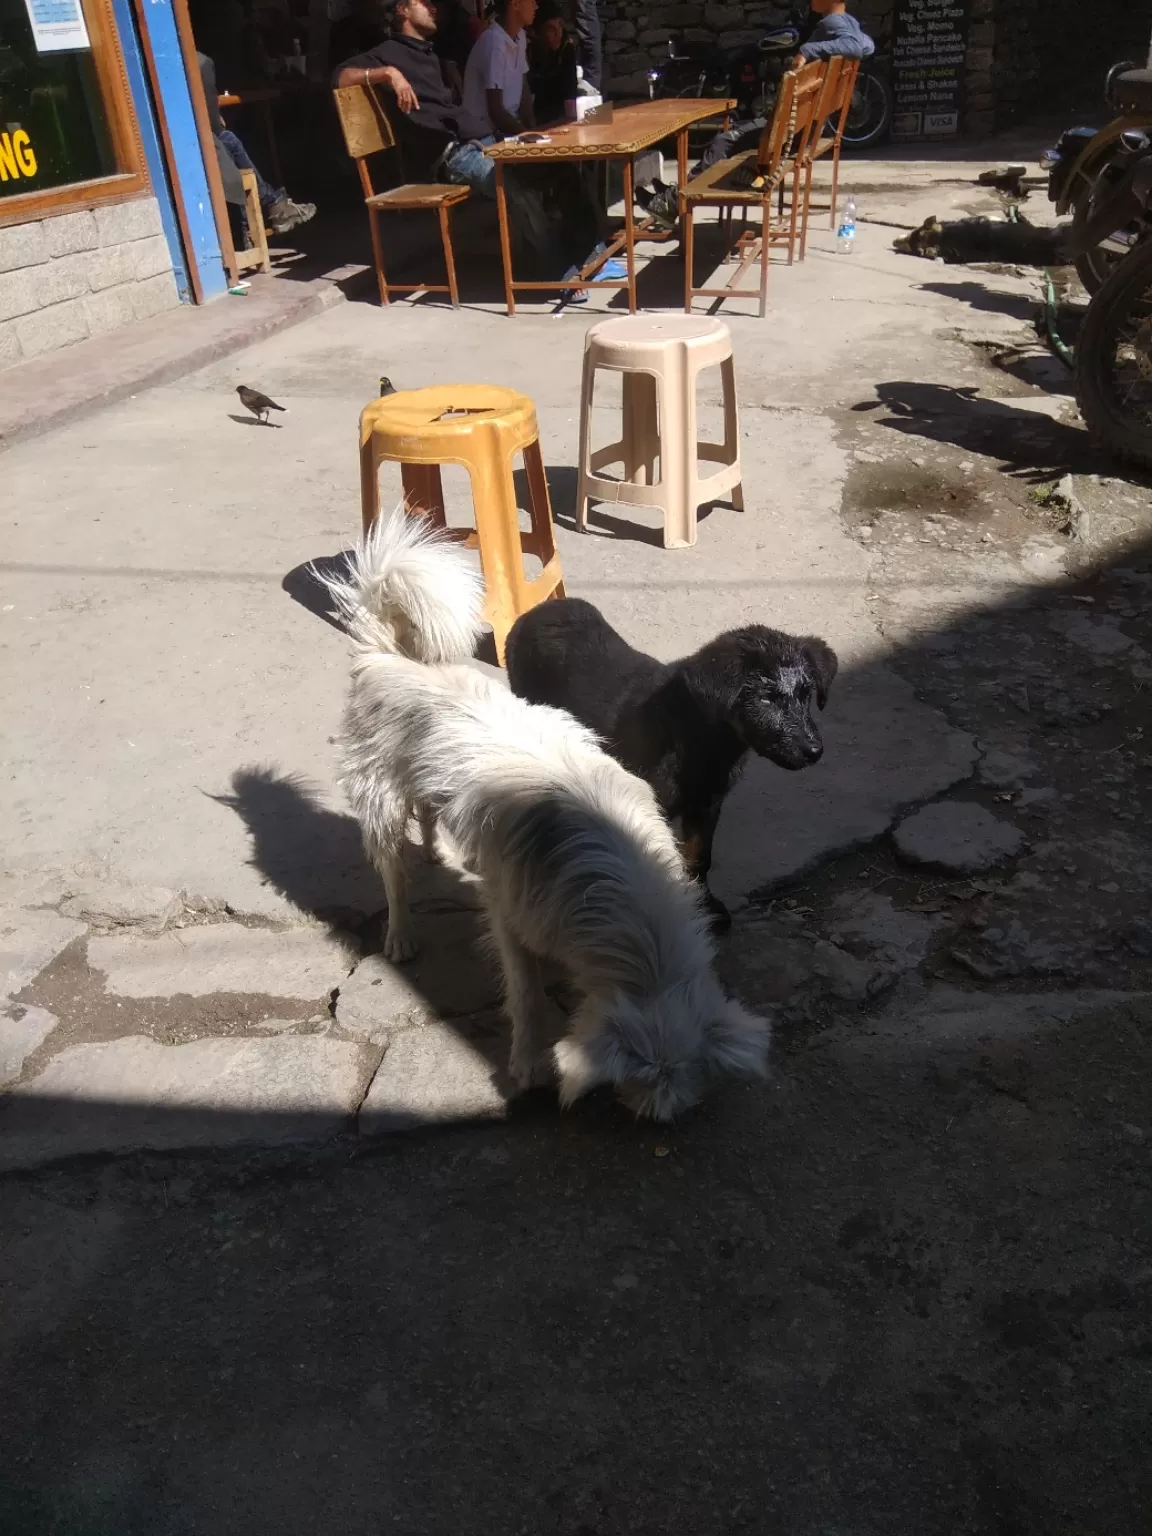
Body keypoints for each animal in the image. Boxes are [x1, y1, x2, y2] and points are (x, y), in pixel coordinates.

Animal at [325, 509, 771, 1124]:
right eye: (638, 1088)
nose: (655, 1120)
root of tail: (388, 655)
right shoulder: (512, 915)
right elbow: (526, 996)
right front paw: (527, 1066)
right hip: (382, 801)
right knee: (393, 873)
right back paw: (399, 934)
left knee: (430, 814)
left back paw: (439, 851)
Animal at [503, 599, 841, 927]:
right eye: (765, 698)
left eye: (806, 694)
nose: (814, 751)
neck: (701, 736)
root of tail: (537, 611)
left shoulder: (707, 804)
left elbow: (699, 857)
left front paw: (706, 906)